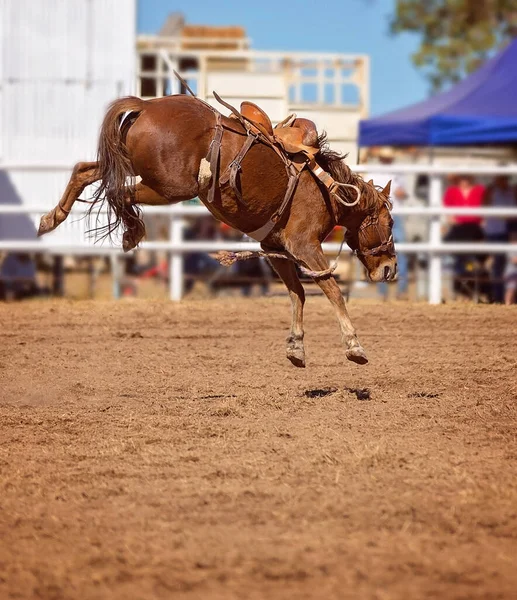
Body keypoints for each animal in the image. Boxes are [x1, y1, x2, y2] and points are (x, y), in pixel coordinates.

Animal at [38, 92, 398, 366]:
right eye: (391, 221)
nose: (390, 269)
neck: (332, 191)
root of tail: (146, 104)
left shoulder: (275, 249)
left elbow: (297, 293)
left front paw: (296, 347)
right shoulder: (303, 245)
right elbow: (332, 289)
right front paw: (354, 346)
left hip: (129, 163)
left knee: (85, 170)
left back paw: (52, 218)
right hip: (169, 187)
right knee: (118, 192)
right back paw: (130, 232)